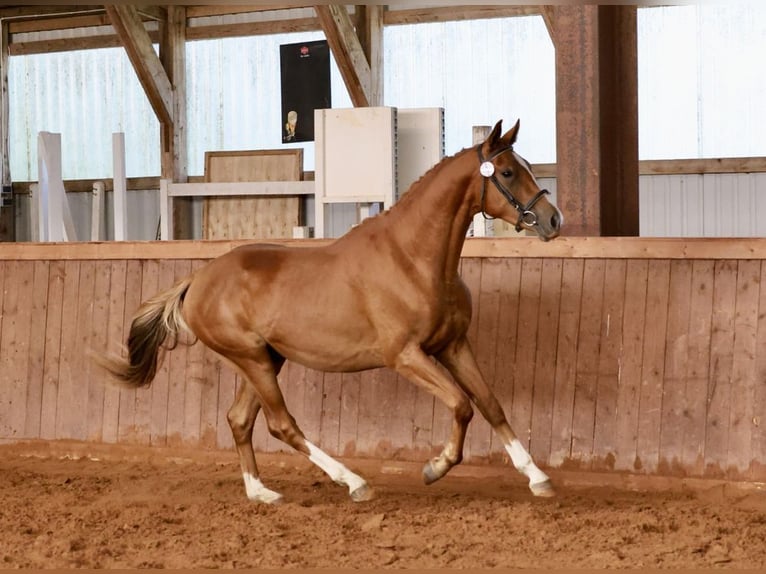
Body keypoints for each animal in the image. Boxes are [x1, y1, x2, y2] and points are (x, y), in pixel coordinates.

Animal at [96, 120, 564, 504]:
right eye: (507, 172)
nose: (552, 220)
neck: (414, 258)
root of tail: (197, 280)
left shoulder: (453, 345)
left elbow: (490, 404)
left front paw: (537, 477)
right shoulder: (406, 356)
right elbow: (461, 404)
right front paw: (435, 467)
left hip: (264, 360)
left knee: (240, 420)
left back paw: (261, 492)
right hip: (252, 359)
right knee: (281, 424)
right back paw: (353, 482)